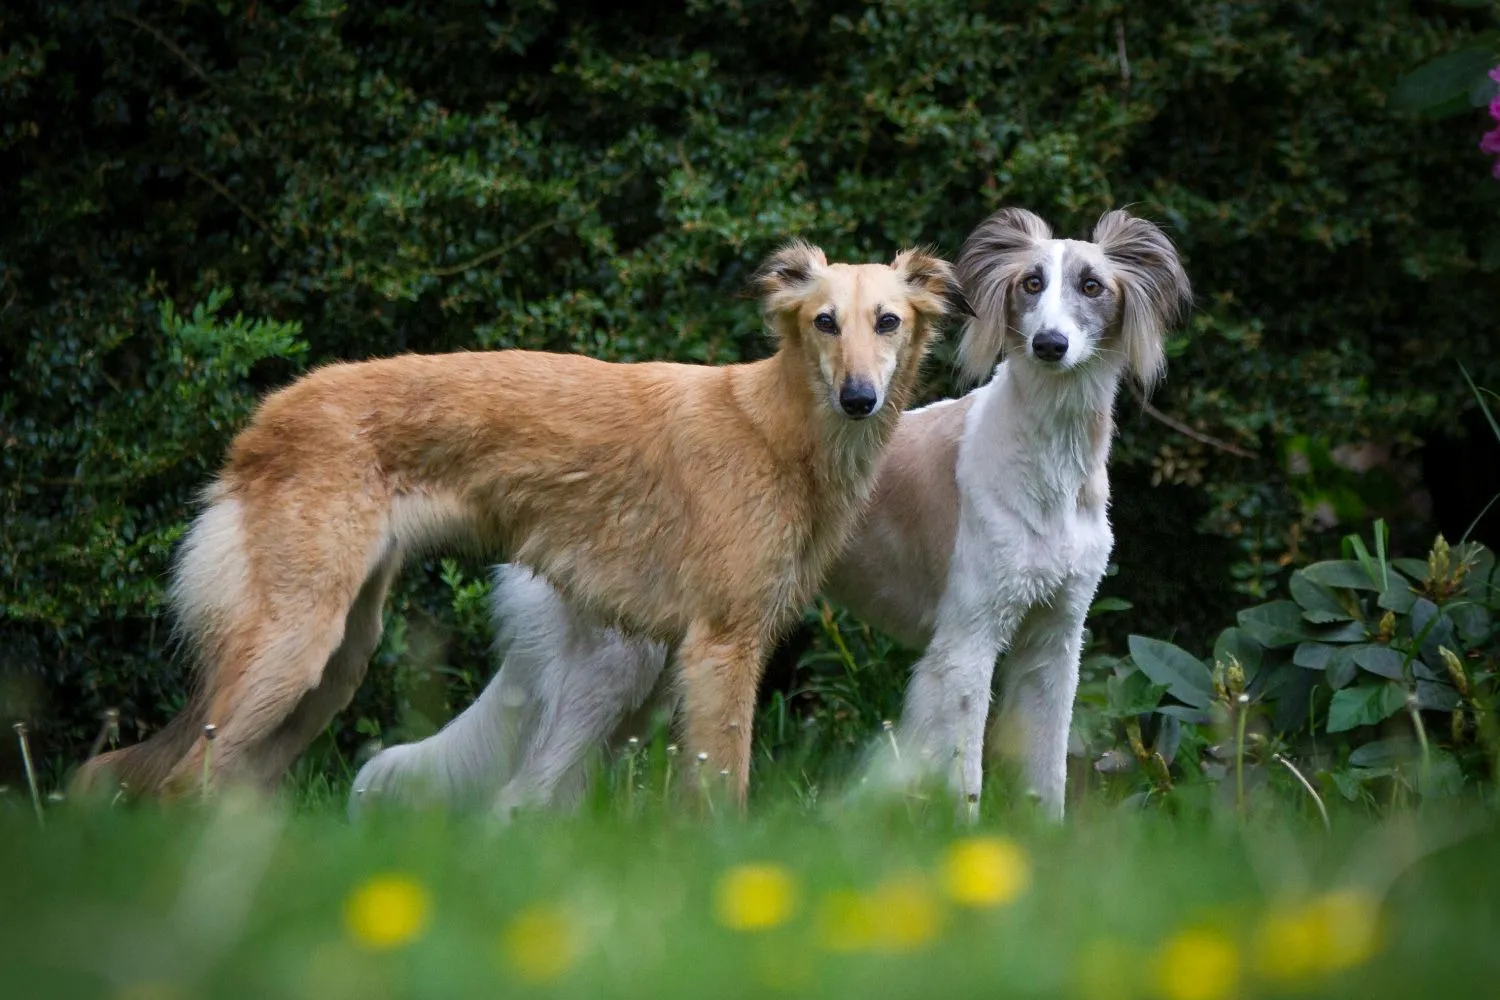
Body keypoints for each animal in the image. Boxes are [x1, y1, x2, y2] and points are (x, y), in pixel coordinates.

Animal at [76, 242, 966, 803]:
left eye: (888, 321)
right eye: (824, 321)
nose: (859, 399)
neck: (774, 425)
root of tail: (264, 420)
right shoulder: (722, 646)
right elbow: (722, 794)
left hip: (336, 661)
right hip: (292, 645)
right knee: (178, 780)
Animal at [354, 209, 1194, 821]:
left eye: (1091, 285)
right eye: (1029, 283)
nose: (1050, 345)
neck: (1045, 461)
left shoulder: (1056, 643)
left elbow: (1047, 777)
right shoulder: (966, 644)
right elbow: (964, 778)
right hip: (616, 668)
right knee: (518, 799)